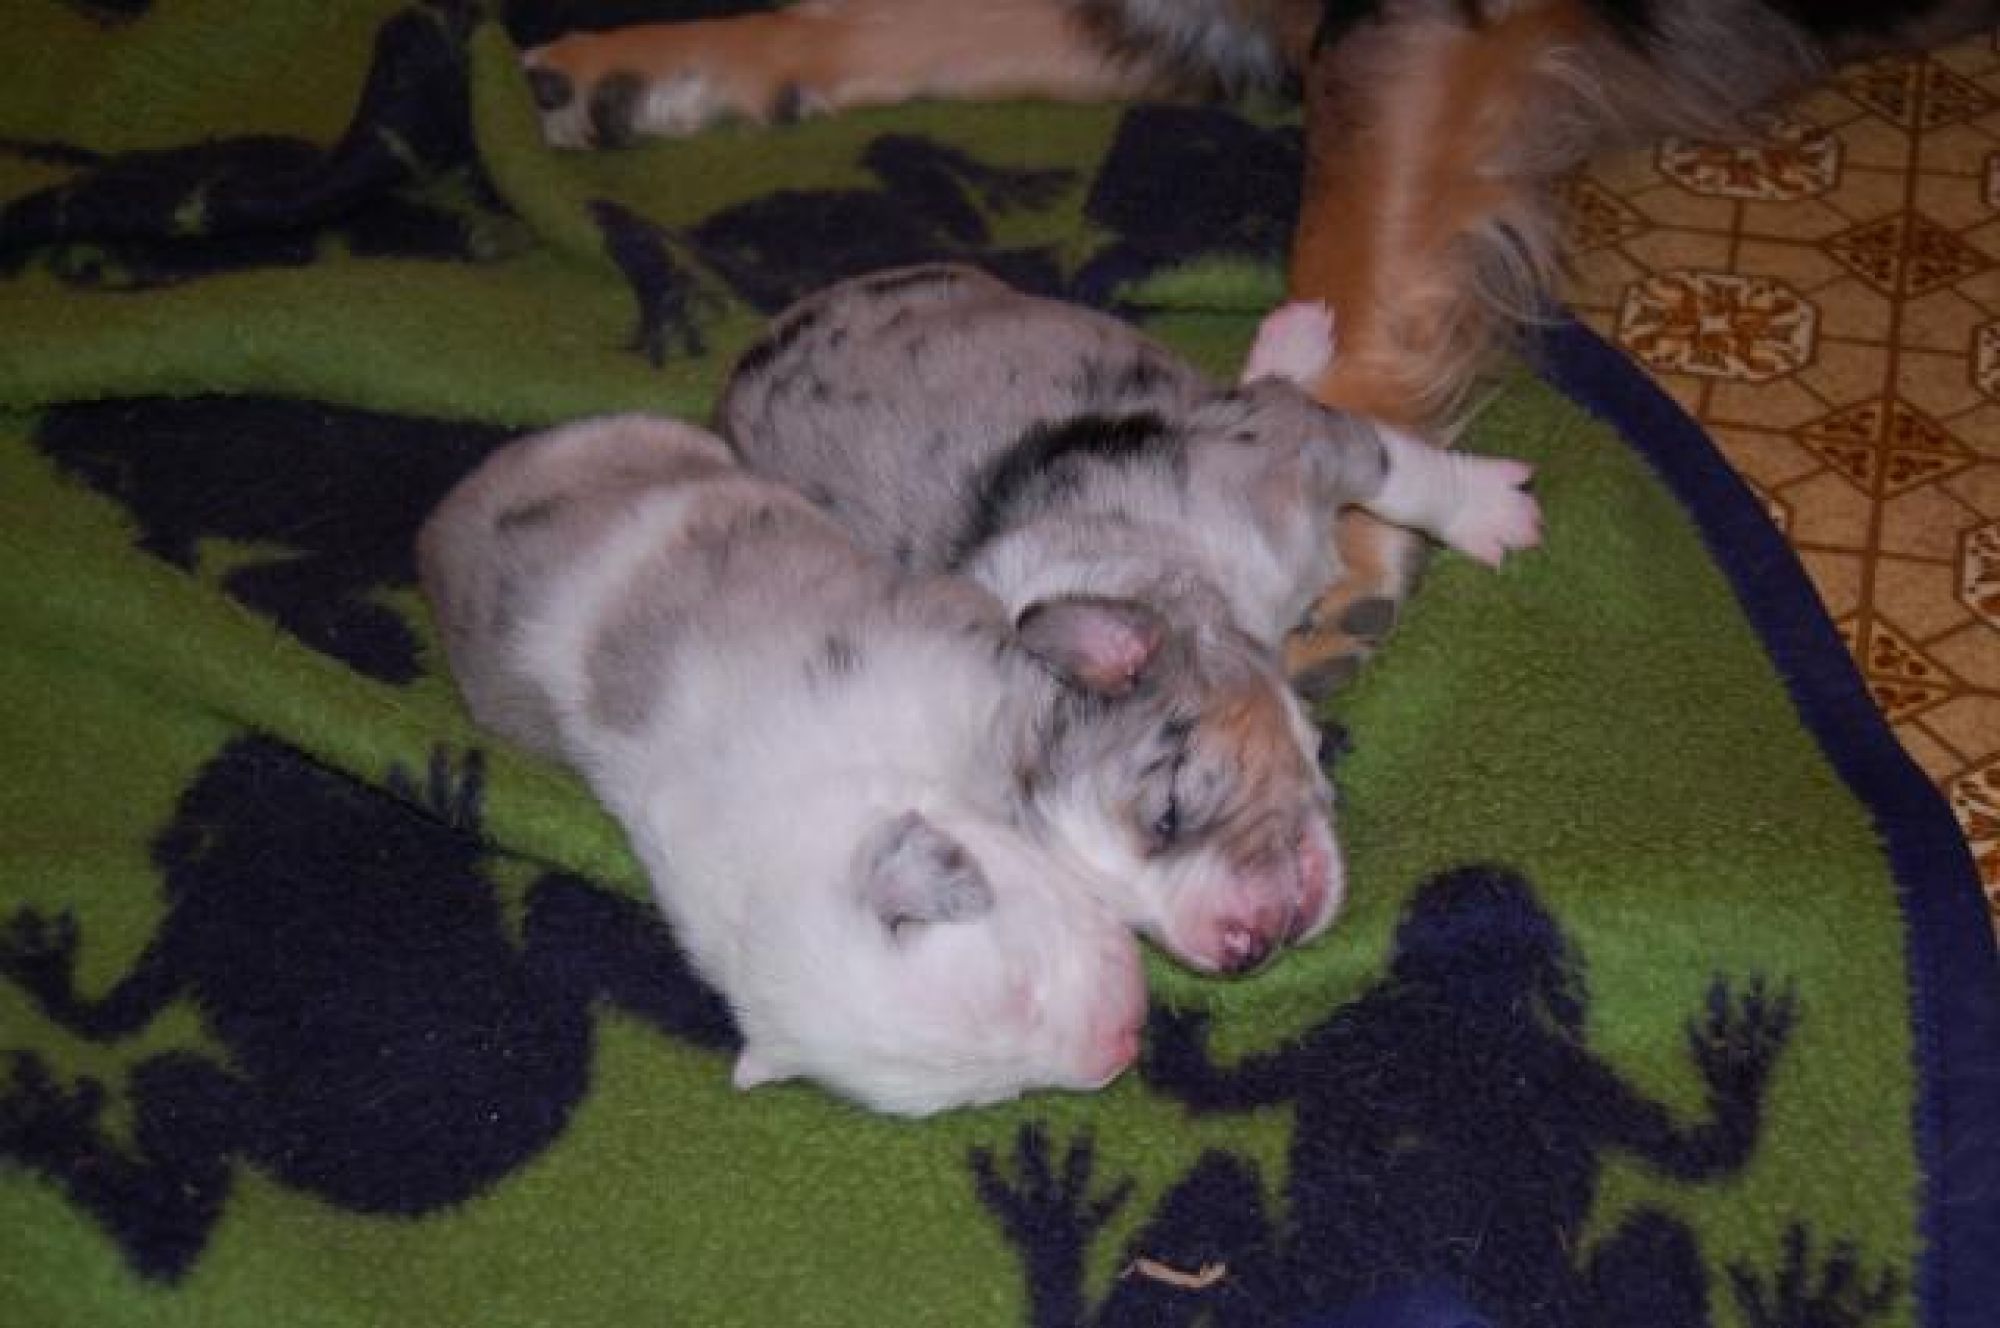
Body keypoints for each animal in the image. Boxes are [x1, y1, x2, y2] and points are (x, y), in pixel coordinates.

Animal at [718, 264, 1539, 970]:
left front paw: (1490, 512)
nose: (1235, 955)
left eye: (1169, 814)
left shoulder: (1294, 448)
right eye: (1122, 919)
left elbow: (1404, 473)